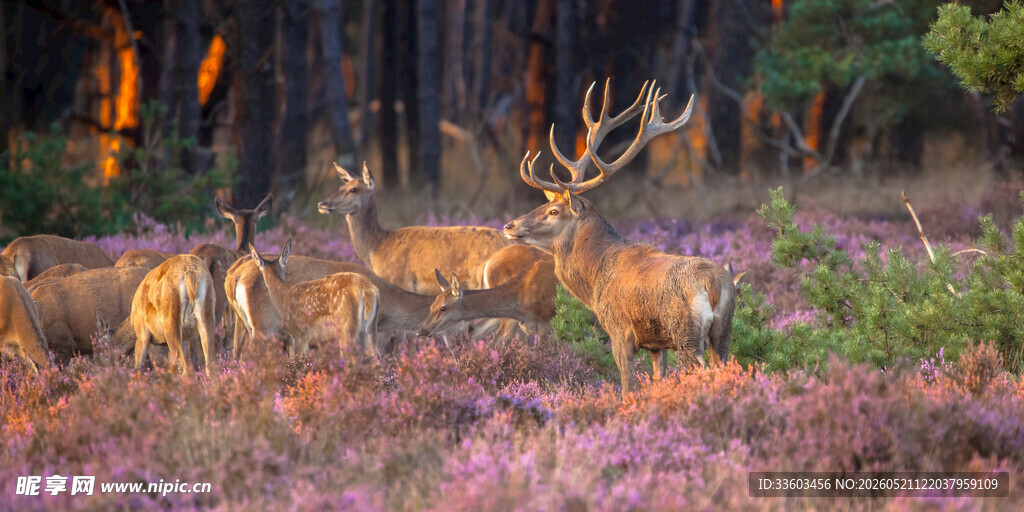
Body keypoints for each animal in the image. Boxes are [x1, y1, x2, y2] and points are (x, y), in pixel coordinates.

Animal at [502, 79, 741, 395]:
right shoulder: (656, 343)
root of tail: (713, 284)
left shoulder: (619, 329)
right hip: (724, 330)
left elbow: (627, 386)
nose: (509, 225)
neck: (595, 279)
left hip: (686, 332)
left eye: (553, 211)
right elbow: (658, 378)